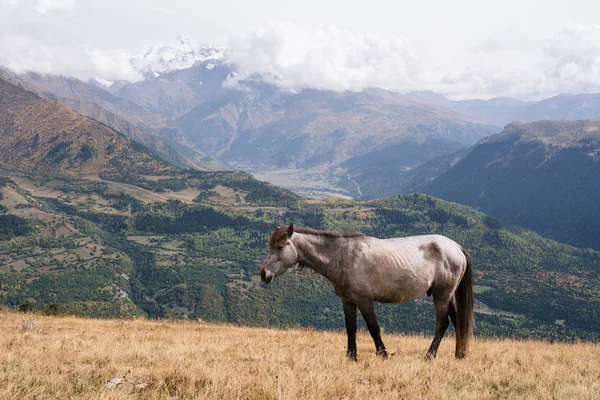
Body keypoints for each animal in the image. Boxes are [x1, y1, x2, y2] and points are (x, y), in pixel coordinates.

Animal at [262, 223, 474, 360]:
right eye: (269, 245)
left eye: (280, 247)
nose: (264, 274)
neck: (343, 256)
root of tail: (457, 248)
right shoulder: (348, 301)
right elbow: (351, 328)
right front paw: (351, 356)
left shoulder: (364, 301)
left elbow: (373, 327)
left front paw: (383, 354)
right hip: (448, 296)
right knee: (457, 321)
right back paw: (460, 355)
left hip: (442, 295)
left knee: (442, 323)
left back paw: (430, 355)